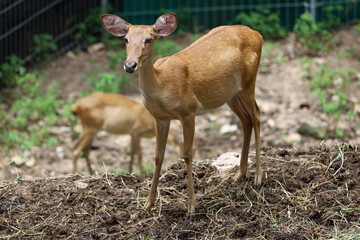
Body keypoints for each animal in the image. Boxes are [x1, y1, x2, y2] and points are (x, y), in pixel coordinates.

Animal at [100, 12, 262, 218]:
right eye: (126, 39)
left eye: (148, 39)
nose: (130, 65)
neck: (162, 86)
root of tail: (258, 34)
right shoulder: (161, 119)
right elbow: (158, 156)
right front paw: (147, 205)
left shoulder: (188, 112)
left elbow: (187, 155)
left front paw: (191, 207)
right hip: (230, 94)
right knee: (246, 120)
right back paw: (239, 174)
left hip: (250, 81)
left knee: (257, 116)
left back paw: (258, 178)